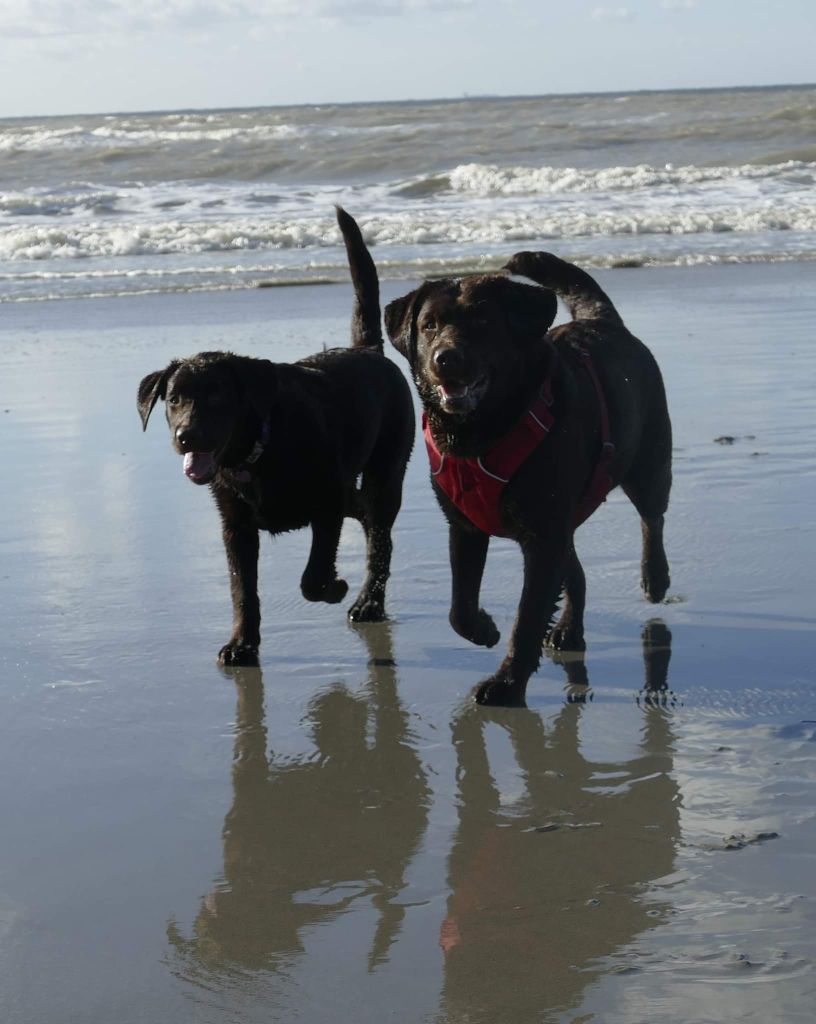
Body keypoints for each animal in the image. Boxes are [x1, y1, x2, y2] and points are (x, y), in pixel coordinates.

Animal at [138, 208, 414, 667]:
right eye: (174, 399)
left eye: (217, 397)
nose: (186, 435)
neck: (258, 453)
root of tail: (368, 349)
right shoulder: (235, 526)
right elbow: (242, 590)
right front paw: (242, 644)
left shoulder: (326, 502)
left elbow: (313, 575)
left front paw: (334, 587)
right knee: (366, 516)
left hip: (387, 469)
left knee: (380, 535)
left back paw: (367, 603)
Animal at [385, 251, 671, 706]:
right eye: (429, 324)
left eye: (483, 322)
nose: (445, 357)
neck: (482, 433)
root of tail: (603, 320)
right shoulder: (464, 526)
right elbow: (459, 605)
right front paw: (482, 628)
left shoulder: (542, 535)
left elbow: (528, 617)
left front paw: (506, 684)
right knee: (577, 572)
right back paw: (570, 629)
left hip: (648, 459)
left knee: (652, 516)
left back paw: (655, 576)